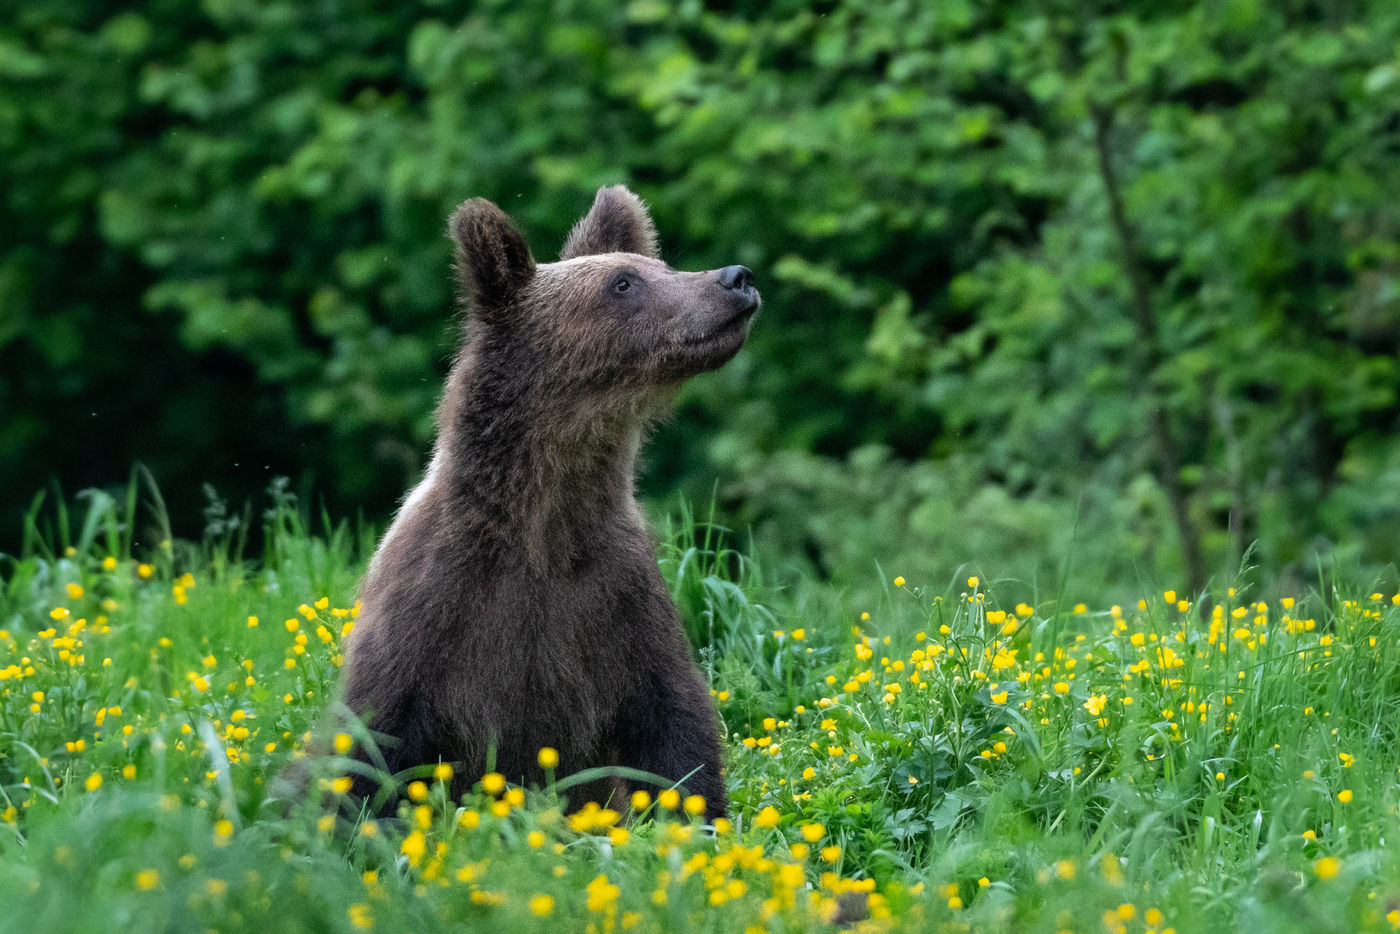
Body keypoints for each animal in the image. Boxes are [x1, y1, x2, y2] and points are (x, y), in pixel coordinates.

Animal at [334, 186, 761, 823]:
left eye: (662, 265)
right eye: (623, 282)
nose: (736, 278)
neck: (543, 522)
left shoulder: (619, 603)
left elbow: (673, 735)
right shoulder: (433, 610)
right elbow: (370, 746)